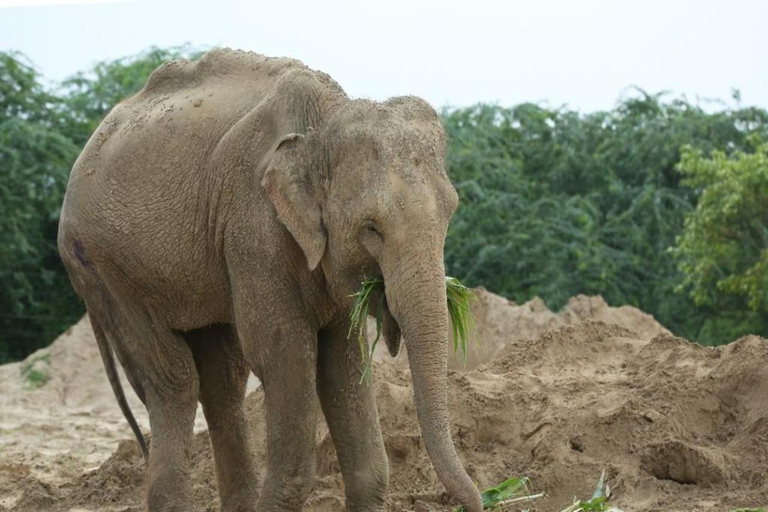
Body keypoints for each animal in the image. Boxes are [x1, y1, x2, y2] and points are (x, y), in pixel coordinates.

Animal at [58, 48, 482, 512]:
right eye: (371, 228)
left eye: (450, 212)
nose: (480, 501)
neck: (323, 122)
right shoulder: (253, 226)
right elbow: (282, 351)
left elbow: (342, 357)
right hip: (104, 269)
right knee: (173, 380)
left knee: (222, 379)